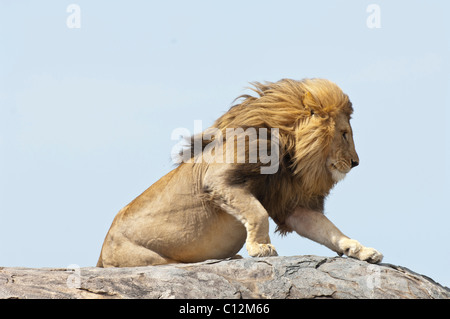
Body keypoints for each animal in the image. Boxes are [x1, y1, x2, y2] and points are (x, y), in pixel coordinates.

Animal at [97, 79, 384, 268]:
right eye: (344, 134)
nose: (356, 162)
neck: (291, 153)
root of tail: (101, 255)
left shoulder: (293, 205)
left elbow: (329, 230)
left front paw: (360, 250)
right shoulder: (218, 179)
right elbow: (258, 213)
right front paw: (261, 247)